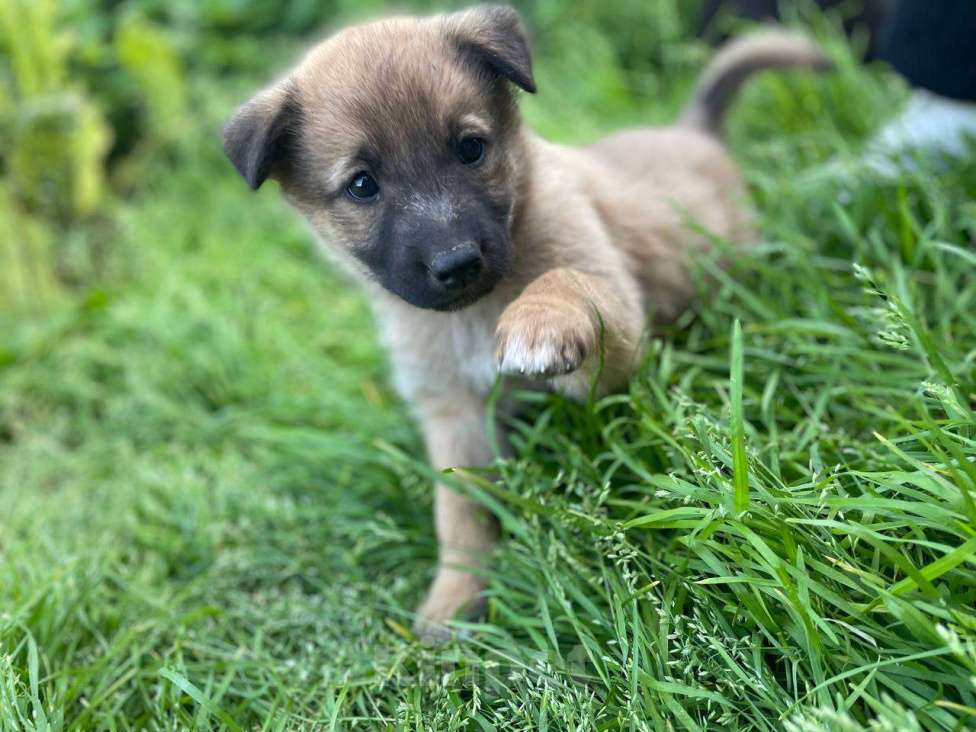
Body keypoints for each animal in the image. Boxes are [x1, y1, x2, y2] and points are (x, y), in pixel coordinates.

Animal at [225, 5, 828, 636]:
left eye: (470, 148)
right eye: (362, 185)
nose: (457, 264)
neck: (474, 313)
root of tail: (693, 131)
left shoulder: (618, 330)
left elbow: (564, 281)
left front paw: (538, 326)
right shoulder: (454, 414)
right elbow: (459, 512)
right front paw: (454, 598)